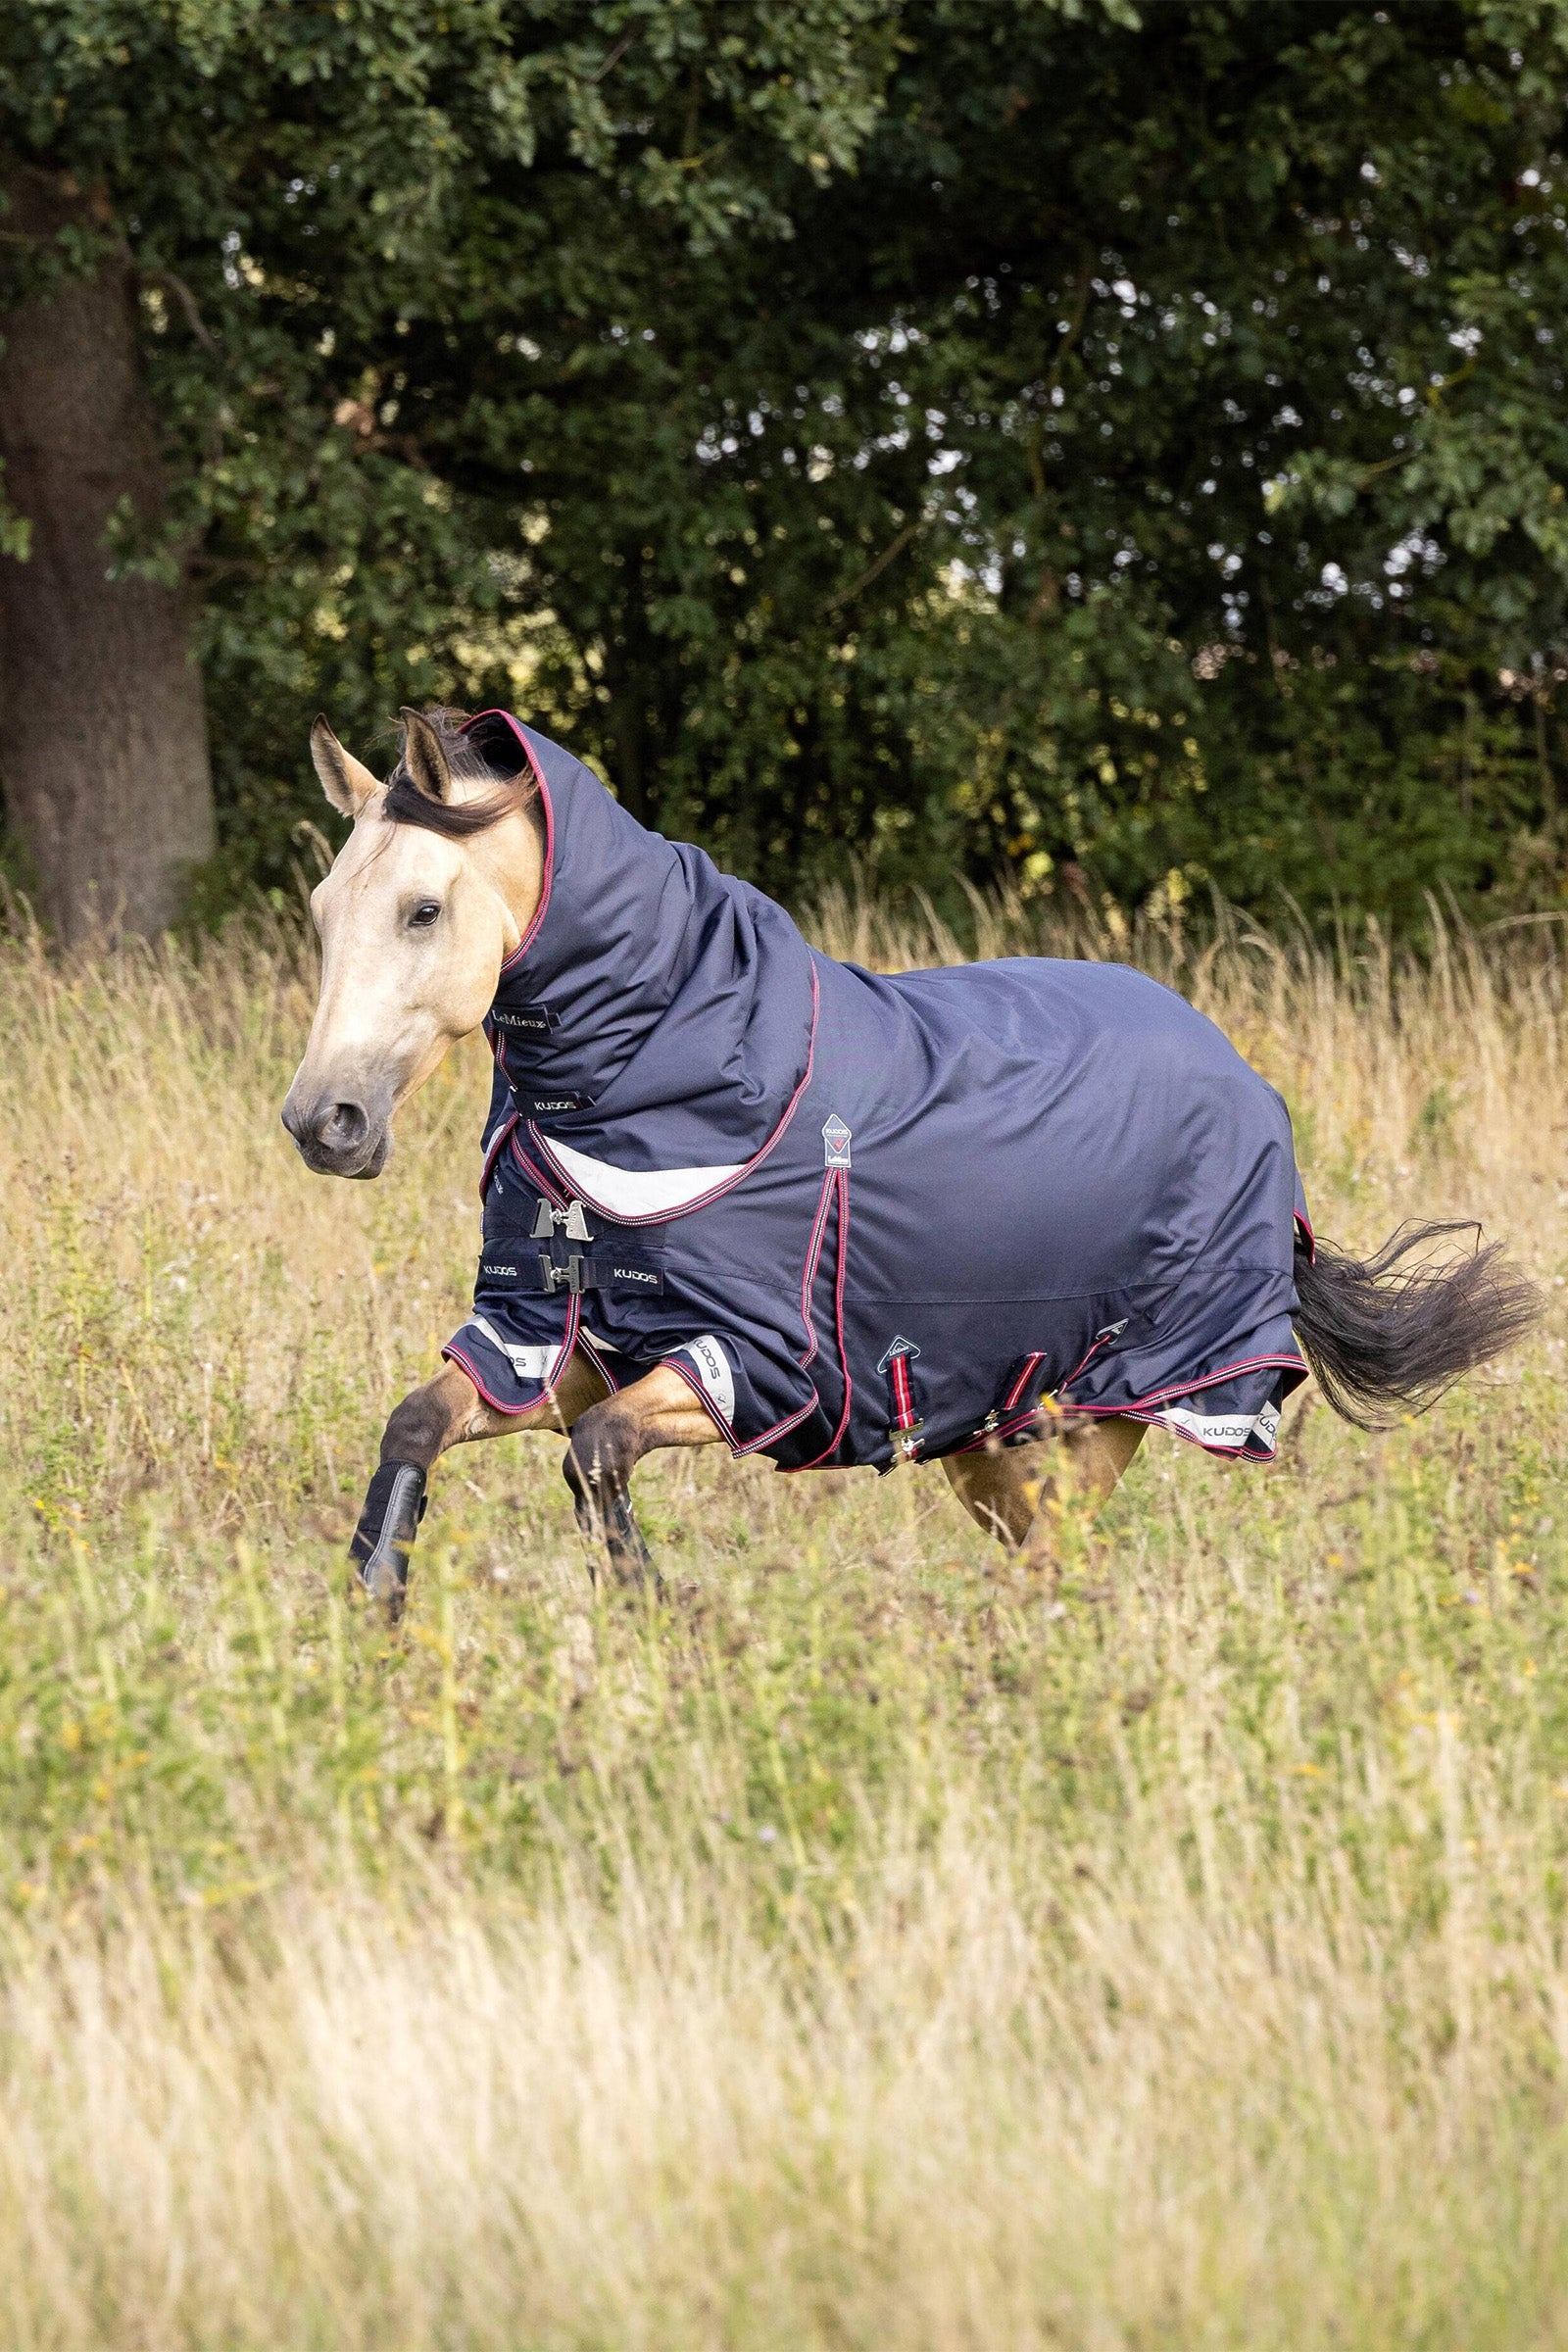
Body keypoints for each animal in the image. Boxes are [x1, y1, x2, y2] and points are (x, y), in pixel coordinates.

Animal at [283, 706, 1539, 1615]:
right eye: (324, 909)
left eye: (423, 909)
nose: (322, 1123)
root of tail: (1246, 1082)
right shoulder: (547, 1344)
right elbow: (421, 1423)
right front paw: (374, 1604)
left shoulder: (749, 1364)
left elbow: (596, 1459)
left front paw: (655, 1613)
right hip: (997, 1442)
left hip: (1099, 1425)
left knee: (1064, 1576)